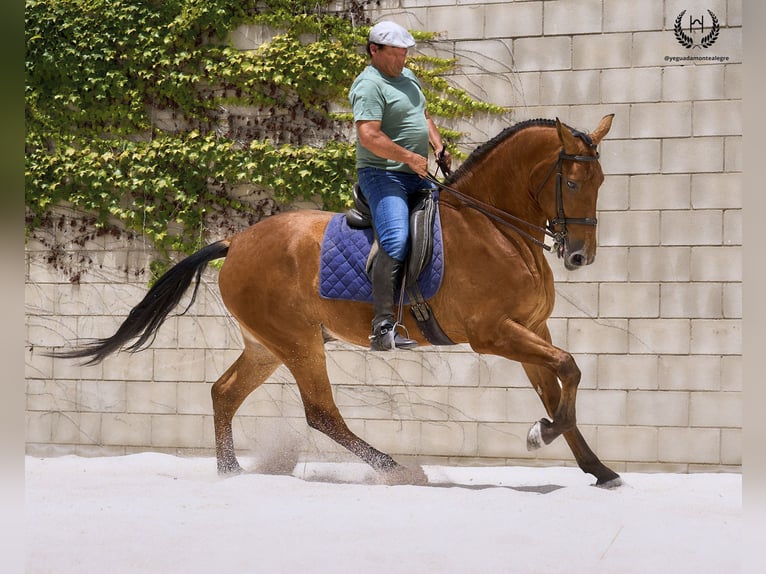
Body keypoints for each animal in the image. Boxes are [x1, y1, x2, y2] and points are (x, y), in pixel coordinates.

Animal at [60, 116, 624, 490]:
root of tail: (236, 241)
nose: (579, 256)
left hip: (267, 346)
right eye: (572, 181)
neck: (495, 227)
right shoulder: (494, 333)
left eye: (600, 182)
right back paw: (399, 470)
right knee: (321, 413)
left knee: (224, 393)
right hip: (299, 343)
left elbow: (558, 387)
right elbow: (569, 371)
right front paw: (541, 436)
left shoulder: (531, 329)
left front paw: (596, 467)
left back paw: (232, 473)